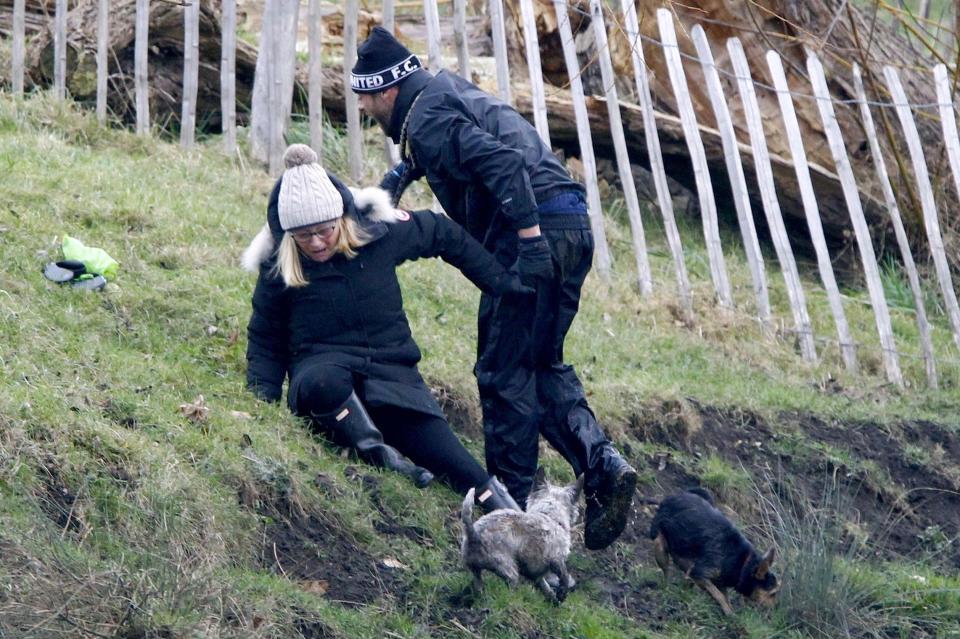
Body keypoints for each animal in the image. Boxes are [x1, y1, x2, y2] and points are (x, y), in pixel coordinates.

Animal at [460, 468, 580, 604]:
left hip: (475, 569)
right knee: (509, 587)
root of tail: (473, 535)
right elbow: (563, 577)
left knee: (477, 584)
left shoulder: (536, 572)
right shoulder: (556, 559)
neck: (550, 516)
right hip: (509, 570)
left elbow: (543, 583)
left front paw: (552, 597)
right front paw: (562, 594)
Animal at [648, 490, 776, 616]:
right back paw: (668, 587)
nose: (773, 610)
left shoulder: (719, 580)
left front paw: (730, 611)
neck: (743, 563)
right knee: (667, 571)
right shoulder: (700, 574)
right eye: (772, 593)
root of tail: (667, 499)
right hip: (660, 544)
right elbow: (718, 594)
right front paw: (728, 611)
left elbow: (725, 595)